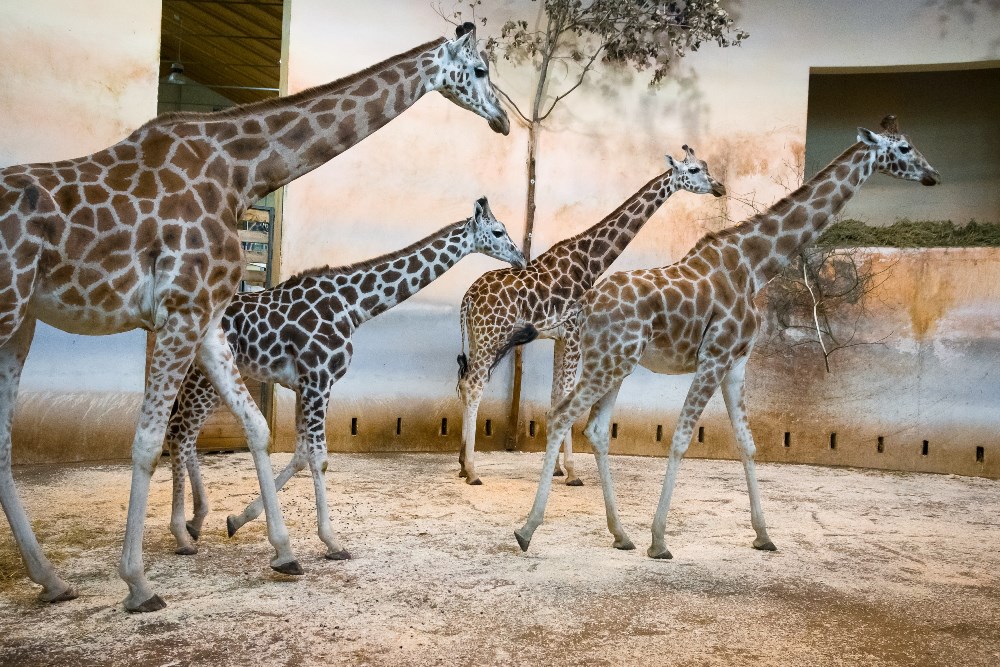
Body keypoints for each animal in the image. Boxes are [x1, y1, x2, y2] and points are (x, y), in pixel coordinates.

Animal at [164, 198, 524, 560]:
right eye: (498, 231)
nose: (521, 258)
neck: (354, 306)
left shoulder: (304, 385)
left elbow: (302, 454)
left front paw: (238, 519)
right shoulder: (319, 379)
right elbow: (319, 459)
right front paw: (332, 542)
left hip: (205, 378)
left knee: (184, 432)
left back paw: (194, 523)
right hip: (201, 375)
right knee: (180, 432)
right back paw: (182, 532)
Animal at [458, 149, 724, 488]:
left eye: (706, 166)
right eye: (693, 170)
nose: (719, 187)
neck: (589, 262)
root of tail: (467, 299)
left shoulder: (560, 338)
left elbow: (556, 397)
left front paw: (558, 468)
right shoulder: (574, 333)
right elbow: (566, 397)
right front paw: (572, 472)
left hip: (477, 337)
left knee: (464, 382)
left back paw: (462, 464)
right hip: (492, 336)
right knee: (474, 385)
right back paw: (473, 471)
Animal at [512, 116, 940, 560]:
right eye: (904, 148)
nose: (932, 175)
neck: (755, 265)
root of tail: (586, 305)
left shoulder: (736, 363)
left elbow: (747, 443)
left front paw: (764, 535)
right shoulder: (714, 357)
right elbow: (681, 438)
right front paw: (659, 540)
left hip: (617, 364)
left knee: (595, 429)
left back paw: (620, 534)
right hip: (607, 362)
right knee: (561, 414)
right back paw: (528, 529)